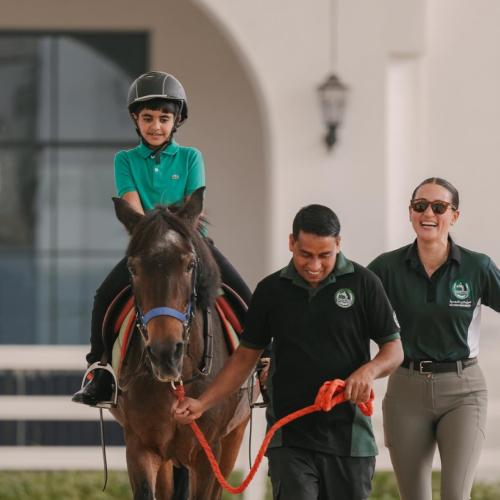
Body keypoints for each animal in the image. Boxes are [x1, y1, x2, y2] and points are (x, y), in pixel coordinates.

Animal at [110, 188, 250, 500]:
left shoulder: (208, 455)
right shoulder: (139, 447)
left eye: (190, 265)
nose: (165, 353)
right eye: (132, 268)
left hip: (232, 439)